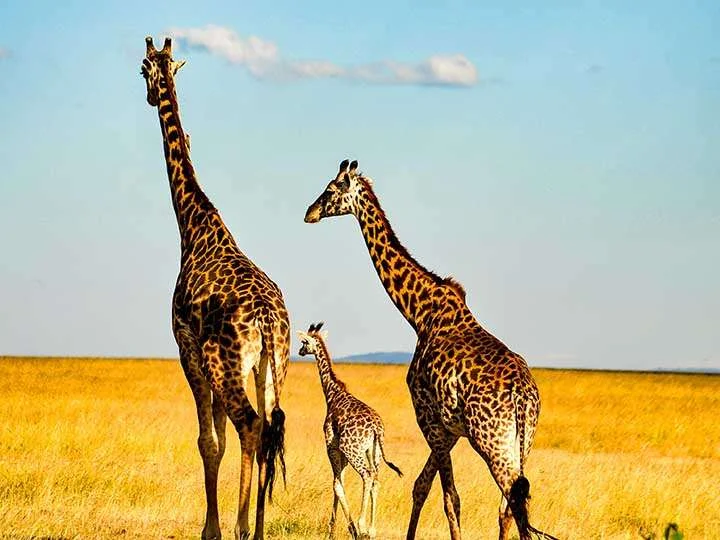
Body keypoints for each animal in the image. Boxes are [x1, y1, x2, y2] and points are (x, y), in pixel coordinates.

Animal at [141, 37, 290, 540]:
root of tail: (268, 320)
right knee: (269, 428)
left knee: (251, 426)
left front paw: (213, 529)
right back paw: (258, 527)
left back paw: (243, 527)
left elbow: (209, 440)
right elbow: (220, 440)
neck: (193, 225)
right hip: (271, 368)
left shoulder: (187, 348)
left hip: (224, 364)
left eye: (142, 70)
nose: (151, 95)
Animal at [297, 322, 403, 540]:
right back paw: (372, 529)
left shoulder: (332, 445)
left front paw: (344, 528)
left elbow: (336, 484)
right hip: (374, 452)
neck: (332, 394)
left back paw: (362, 526)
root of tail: (376, 428)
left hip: (353, 450)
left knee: (367, 476)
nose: (300, 351)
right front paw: (336, 528)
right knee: (376, 480)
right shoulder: (341, 452)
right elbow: (341, 482)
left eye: (304, 342)